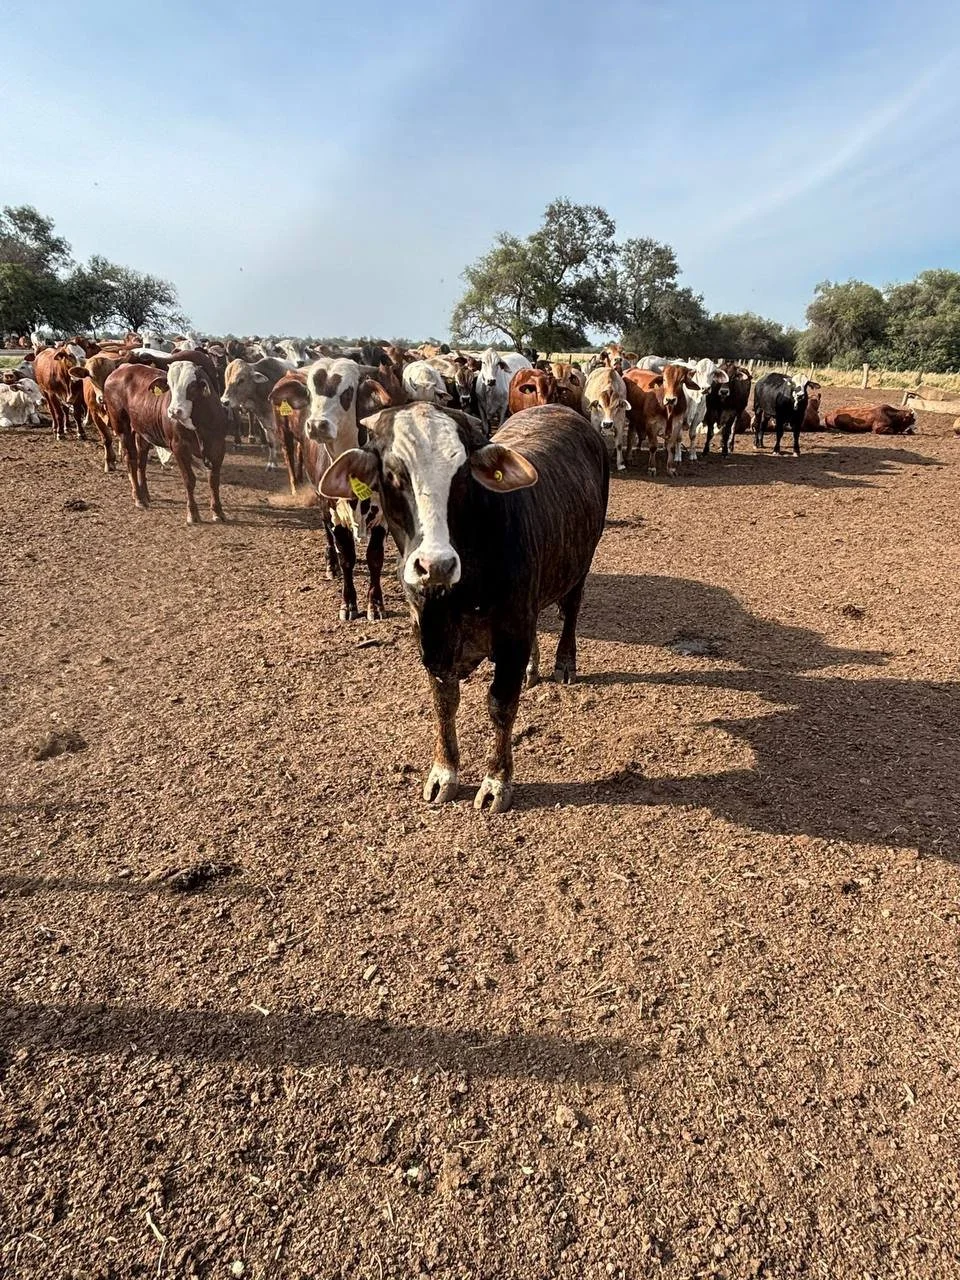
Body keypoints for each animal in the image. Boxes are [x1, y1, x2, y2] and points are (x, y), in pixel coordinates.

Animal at [102, 356, 227, 523]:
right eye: (169, 386)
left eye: (192, 386)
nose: (174, 411)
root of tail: (121, 369)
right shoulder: (179, 447)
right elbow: (189, 480)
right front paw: (192, 513)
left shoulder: (218, 446)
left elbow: (213, 480)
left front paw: (218, 511)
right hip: (122, 428)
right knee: (131, 460)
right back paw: (138, 498)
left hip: (142, 431)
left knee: (141, 462)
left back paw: (145, 495)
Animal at [319, 402, 609, 813]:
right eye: (391, 475)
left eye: (462, 475)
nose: (435, 564)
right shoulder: (430, 637)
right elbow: (444, 702)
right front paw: (444, 774)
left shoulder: (513, 632)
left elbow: (501, 704)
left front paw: (496, 782)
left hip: (581, 563)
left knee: (571, 611)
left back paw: (564, 662)